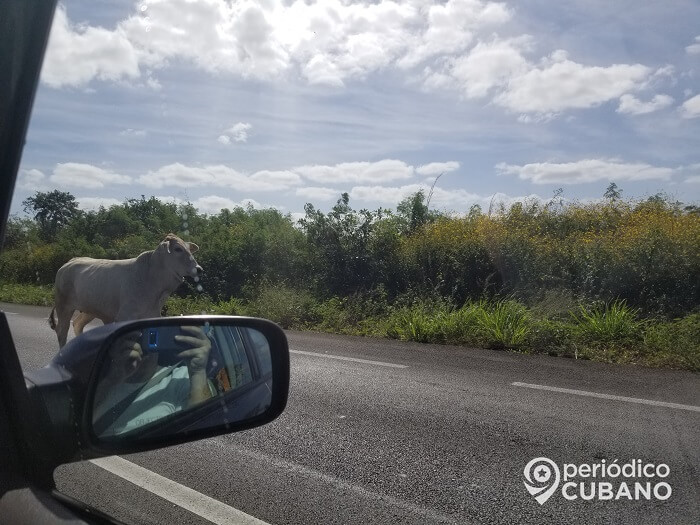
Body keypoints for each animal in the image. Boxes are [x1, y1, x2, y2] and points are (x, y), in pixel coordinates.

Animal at [48, 233, 202, 348]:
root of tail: (69, 262)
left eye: (189, 249)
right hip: (63, 306)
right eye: (177, 249)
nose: (199, 269)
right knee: (62, 332)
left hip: (91, 309)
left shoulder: (152, 315)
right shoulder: (125, 316)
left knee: (77, 324)